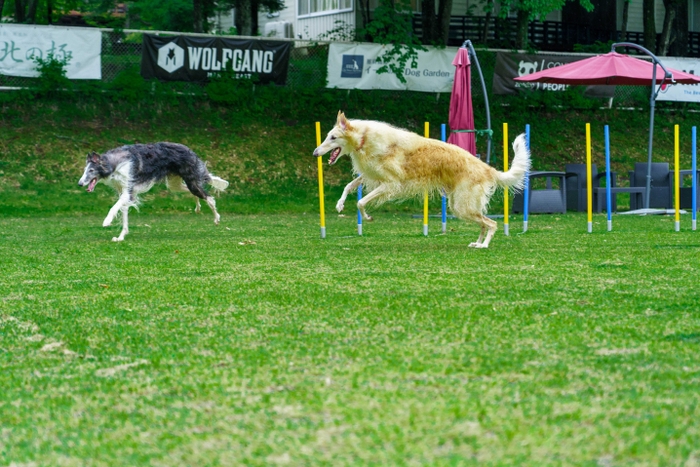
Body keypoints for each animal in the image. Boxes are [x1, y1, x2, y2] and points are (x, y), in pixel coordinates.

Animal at [78, 143, 230, 243]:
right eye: (85, 170)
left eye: (91, 170)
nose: (80, 183)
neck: (114, 164)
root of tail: (191, 151)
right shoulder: (125, 193)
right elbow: (123, 215)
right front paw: (121, 237)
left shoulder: (128, 191)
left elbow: (113, 208)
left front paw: (107, 221)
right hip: (175, 184)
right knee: (194, 193)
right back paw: (198, 207)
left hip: (192, 183)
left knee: (210, 198)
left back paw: (216, 219)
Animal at [314, 111, 532, 249]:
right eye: (328, 136)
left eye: (333, 137)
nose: (315, 152)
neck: (364, 139)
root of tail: (488, 169)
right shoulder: (372, 176)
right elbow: (349, 186)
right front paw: (340, 204)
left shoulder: (390, 184)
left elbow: (360, 202)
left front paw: (367, 217)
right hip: (460, 206)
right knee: (484, 223)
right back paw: (477, 243)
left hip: (462, 206)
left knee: (492, 224)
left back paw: (484, 245)